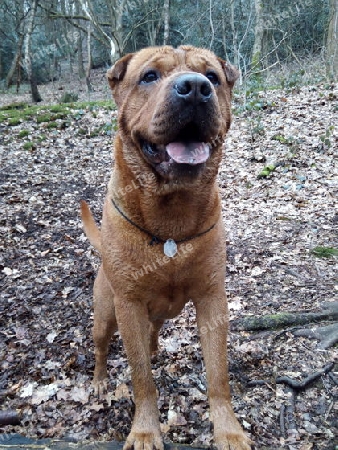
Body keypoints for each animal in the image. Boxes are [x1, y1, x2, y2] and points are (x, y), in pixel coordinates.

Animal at [81, 46, 251, 450]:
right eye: (149, 76)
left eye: (213, 77)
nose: (196, 88)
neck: (171, 213)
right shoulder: (128, 304)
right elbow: (142, 378)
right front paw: (145, 430)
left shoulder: (212, 299)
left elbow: (218, 374)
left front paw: (228, 430)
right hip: (105, 313)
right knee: (101, 345)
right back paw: (99, 380)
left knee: (152, 331)